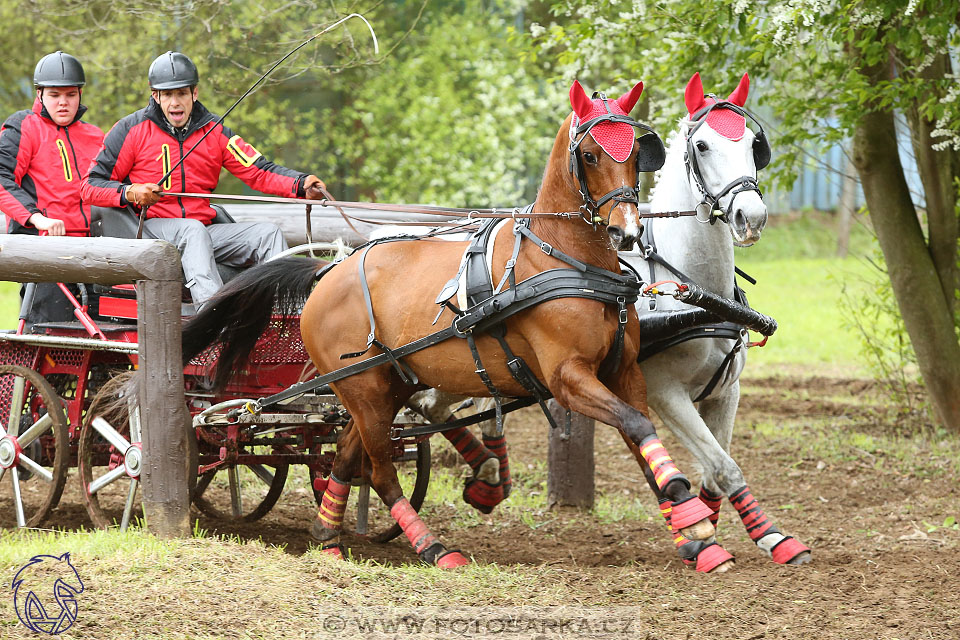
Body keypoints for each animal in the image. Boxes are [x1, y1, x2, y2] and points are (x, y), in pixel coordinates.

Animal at [184, 79, 716, 564]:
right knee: (379, 469)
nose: (626, 232)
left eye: (636, 154)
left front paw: (693, 531)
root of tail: (326, 272)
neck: (565, 260)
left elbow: (638, 434)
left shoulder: (622, 373)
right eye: (588, 154)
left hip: (381, 386)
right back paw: (432, 547)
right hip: (364, 390)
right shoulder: (568, 379)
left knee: (349, 455)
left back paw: (328, 539)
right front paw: (689, 510)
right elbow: (637, 426)